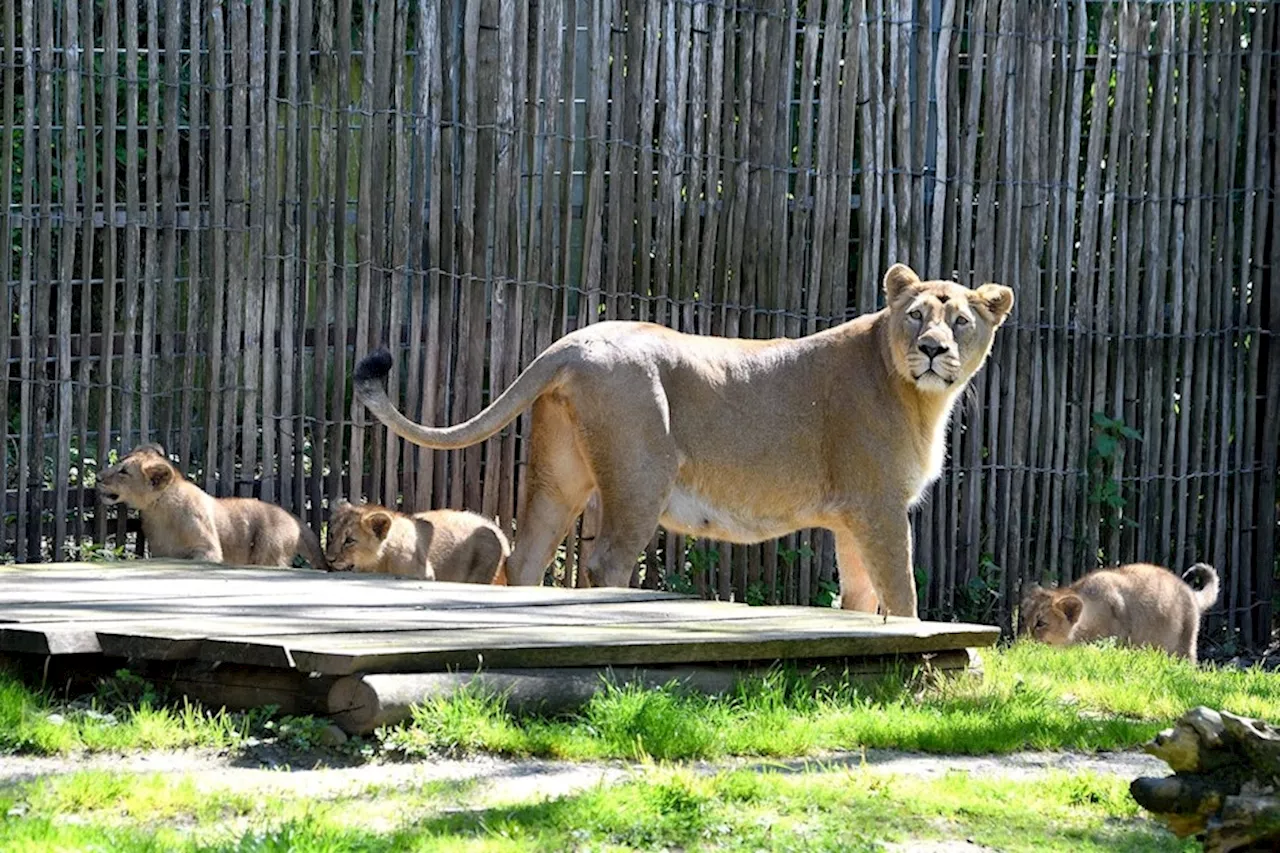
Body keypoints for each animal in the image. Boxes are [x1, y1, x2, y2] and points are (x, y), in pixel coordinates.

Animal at [353, 262, 1008, 614]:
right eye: (915, 316)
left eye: (960, 321)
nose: (932, 350)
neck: (919, 396)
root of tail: (569, 344)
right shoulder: (878, 506)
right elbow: (902, 591)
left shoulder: (851, 516)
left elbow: (860, 595)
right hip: (641, 474)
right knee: (606, 561)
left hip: (559, 477)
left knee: (527, 557)